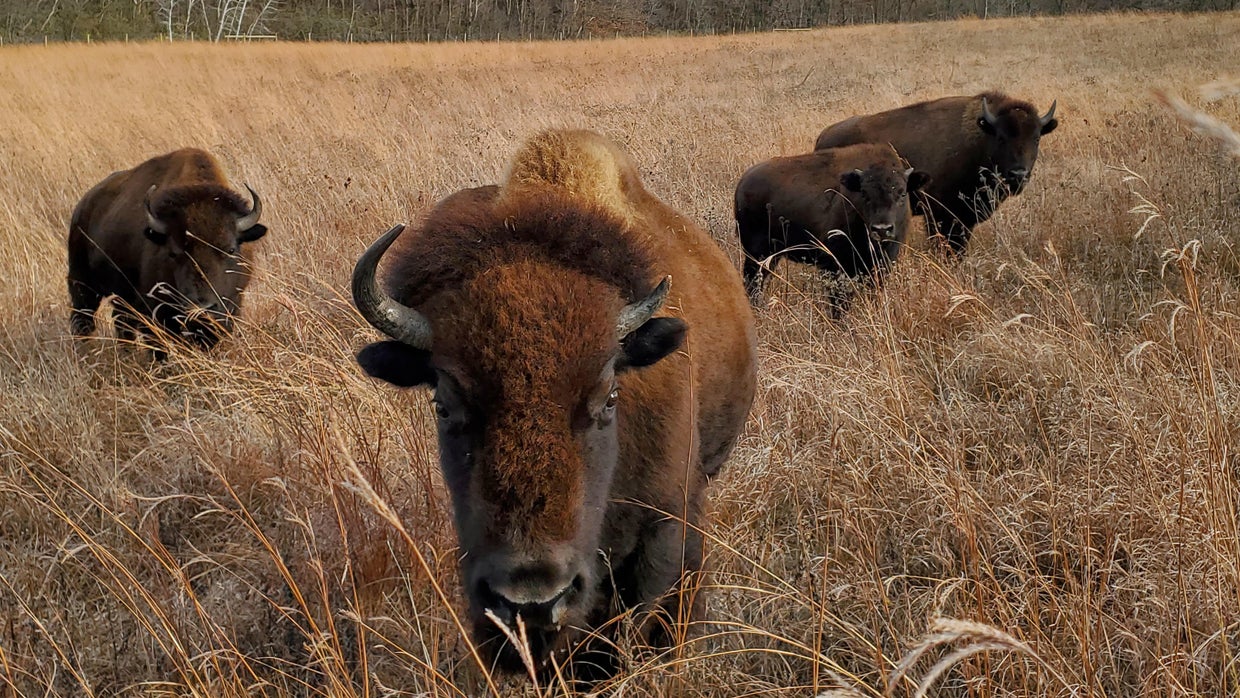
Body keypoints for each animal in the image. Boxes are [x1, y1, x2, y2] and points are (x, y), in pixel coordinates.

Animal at [67, 148, 267, 351]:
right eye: (173, 253)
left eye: (231, 250)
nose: (201, 309)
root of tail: (82, 206)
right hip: (82, 283)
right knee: (83, 320)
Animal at [735, 143, 930, 305]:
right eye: (864, 194)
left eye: (902, 193)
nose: (882, 229)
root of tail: (743, 182)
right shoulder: (835, 266)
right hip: (757, 253)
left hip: (772, 255)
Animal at [814, 92, 1058, 255]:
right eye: (1001, 137)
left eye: (1036, 138)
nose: (1018, 174)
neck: (979, 139)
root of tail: (823, 137)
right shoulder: (938, 215)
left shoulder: (964, 218)